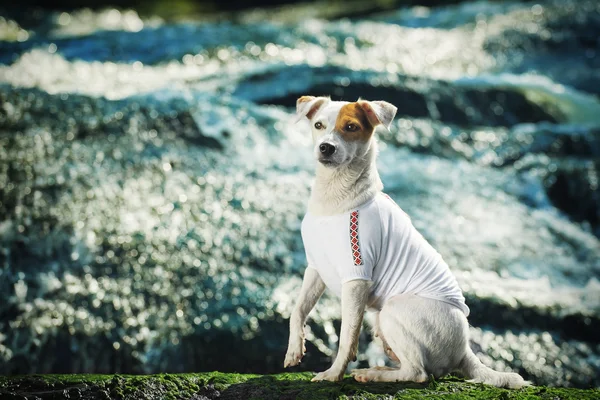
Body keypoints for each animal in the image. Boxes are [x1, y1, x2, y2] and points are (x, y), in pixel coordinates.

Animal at [284, 94, 528, 388]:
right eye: (318, 125)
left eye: (351, 127)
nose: (326, 148)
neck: (334, 200)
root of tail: (465, 349)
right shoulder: (316, 268)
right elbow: (298, 310)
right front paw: (294, 350)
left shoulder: (356, 278)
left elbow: (346, 335)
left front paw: (333, 374)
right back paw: (381, 369)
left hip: (392, 309)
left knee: (419, 373)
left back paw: (374, 373)